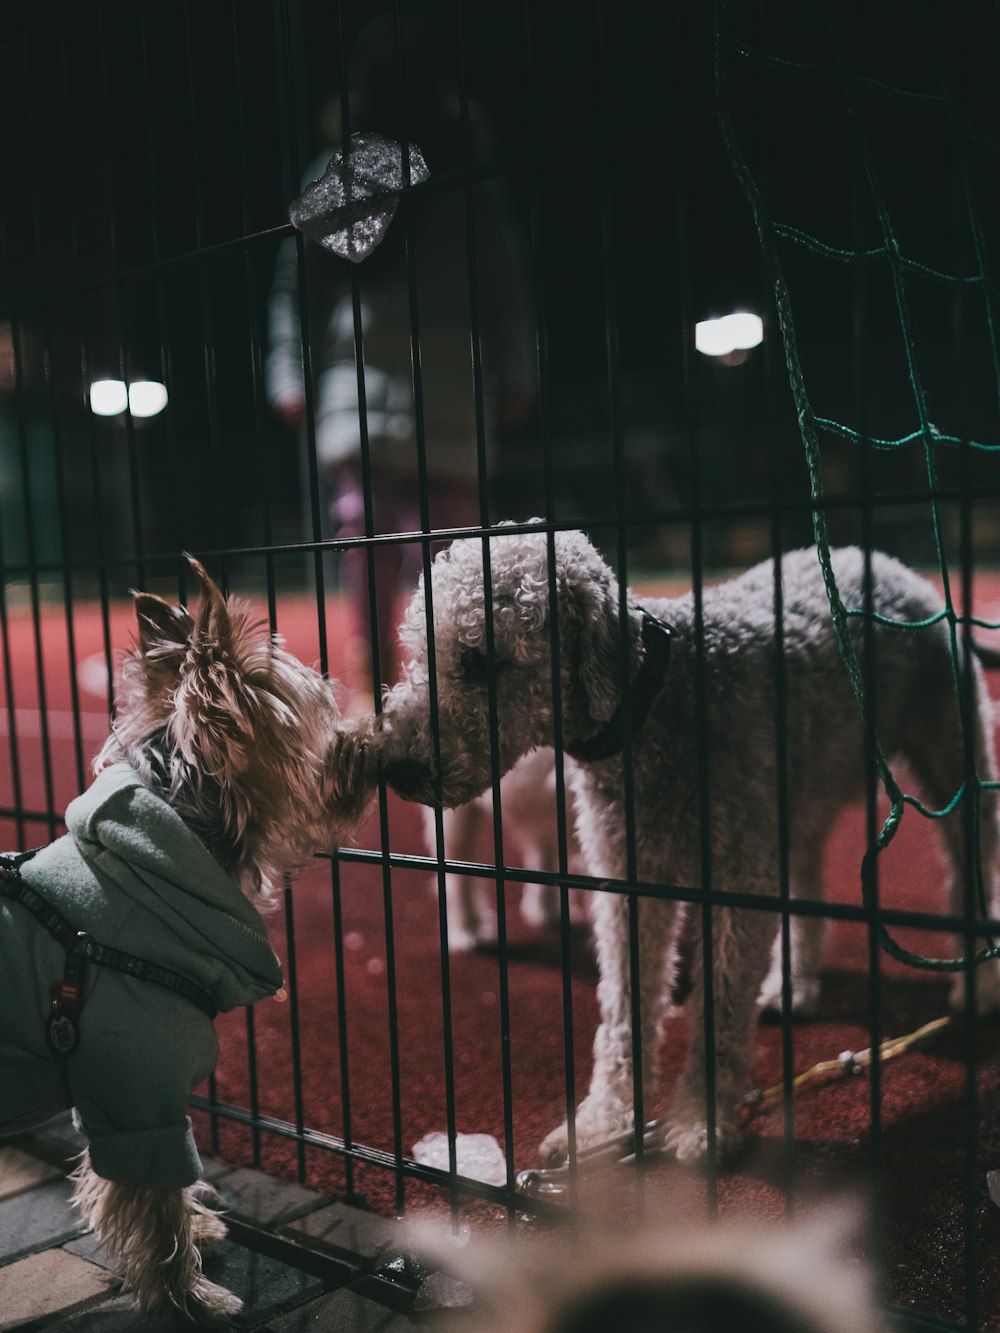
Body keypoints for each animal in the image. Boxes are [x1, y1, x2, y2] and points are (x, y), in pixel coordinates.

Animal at [0, 559, 376, 1322]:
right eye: (319, 716)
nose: (368, 743)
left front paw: (198, 1239)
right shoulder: (136, 1092)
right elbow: (154, 1202)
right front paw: (187, 1295)